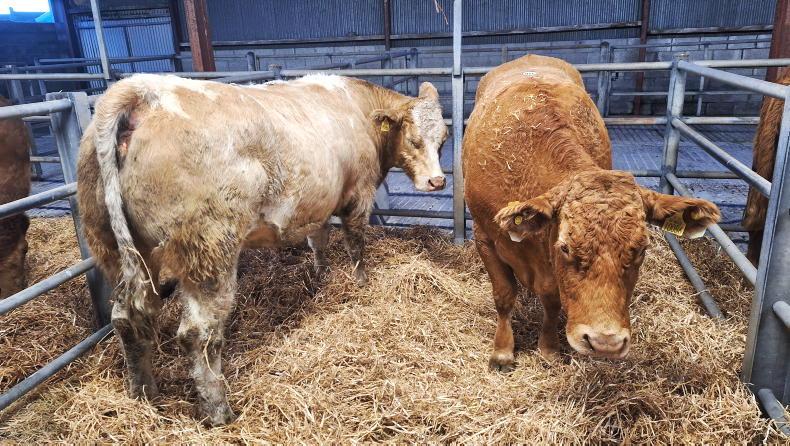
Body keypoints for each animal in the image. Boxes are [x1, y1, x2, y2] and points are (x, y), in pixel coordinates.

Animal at [77, 73, 447, 425]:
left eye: (443, 140)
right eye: (414, 140)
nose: (437, 181)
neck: (358, 108)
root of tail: (142, 91)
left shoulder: (318, 204)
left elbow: (319, 241)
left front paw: (322, 276)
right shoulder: (359, 194)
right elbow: (356, 245)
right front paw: (361, 284)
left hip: (119, 251)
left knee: (127, 318)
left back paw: (143, 395)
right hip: (209, 253)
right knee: (199, 335)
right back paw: (219, 413)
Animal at [462, 55, 720, 371]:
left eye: (641, 249)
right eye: (566, 247)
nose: (605, 342)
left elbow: (551, 298)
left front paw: (548, 348)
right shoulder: (484, 237)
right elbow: (504, 295)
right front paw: (502, 351)